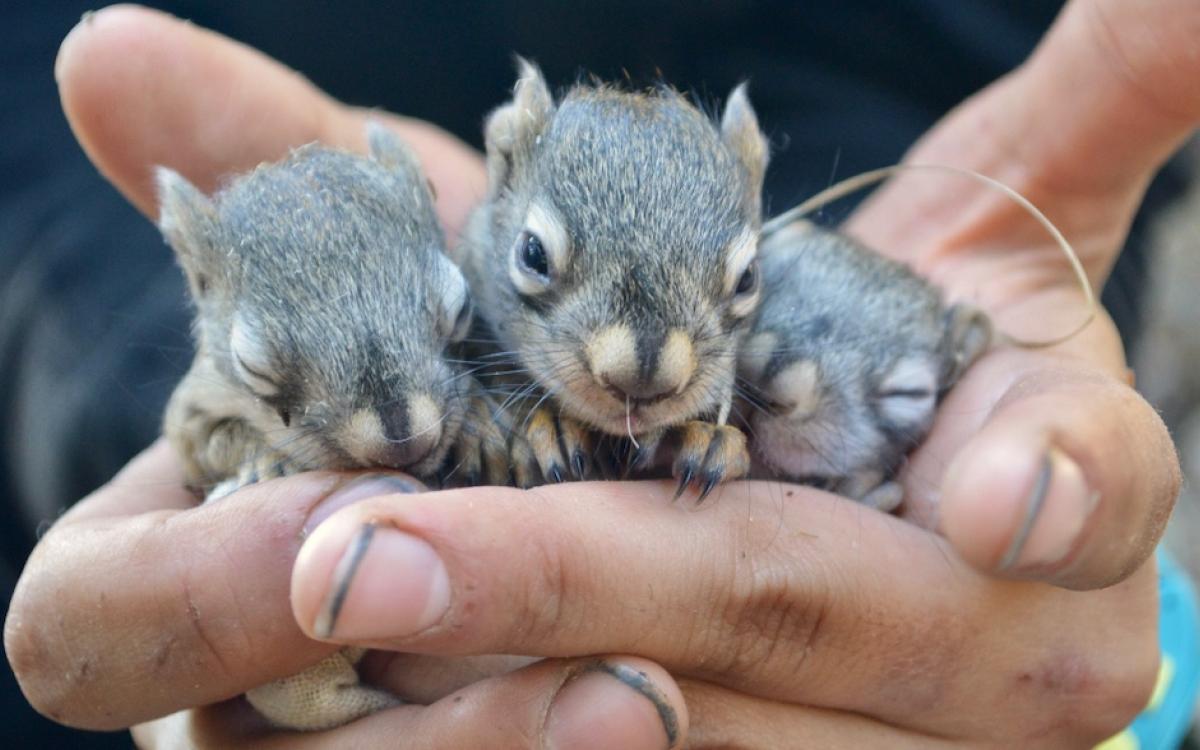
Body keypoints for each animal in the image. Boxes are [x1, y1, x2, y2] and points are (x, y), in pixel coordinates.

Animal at [158, 125, 511, 730]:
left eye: (462, 308)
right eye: (253, 366)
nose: (404, 439)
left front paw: (480, 425)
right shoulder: (189, 411)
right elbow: (206, 444)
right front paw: (265, 462)